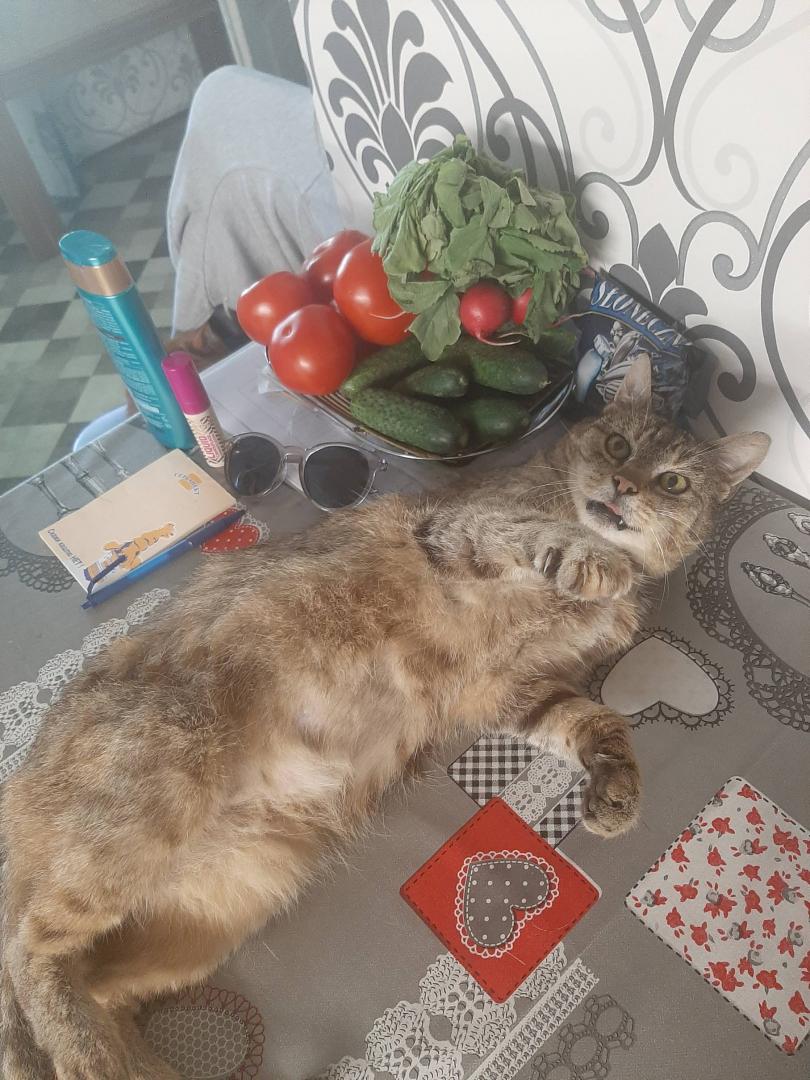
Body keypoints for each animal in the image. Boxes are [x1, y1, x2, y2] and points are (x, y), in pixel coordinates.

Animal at [0, 357, 768, 1079]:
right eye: (616, 444)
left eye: (673, 482)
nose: (623, 489)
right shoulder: (466, 532)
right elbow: (540, 532)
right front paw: (592, 558)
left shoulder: (516, 690)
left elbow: (601, 723)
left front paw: (616, 794)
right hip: (152, 799)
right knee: (27, 951)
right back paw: (93, 1057)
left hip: (217, 906)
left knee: (89, 982)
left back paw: (131, 1060)